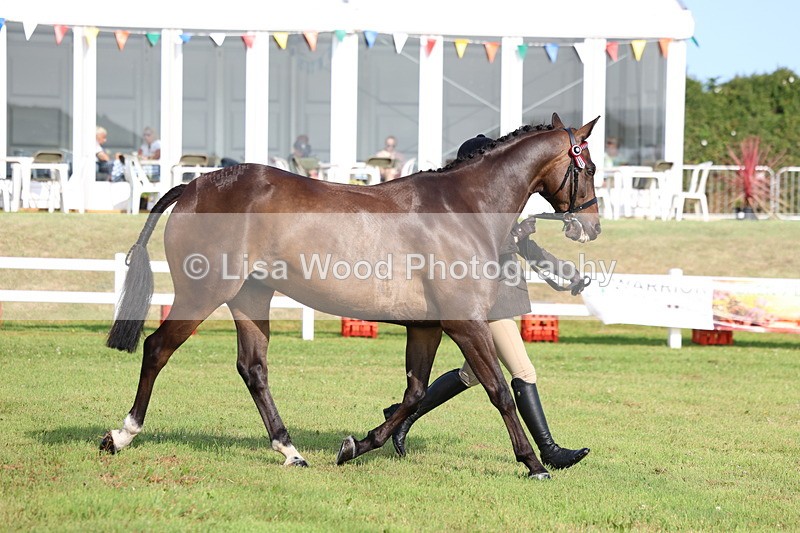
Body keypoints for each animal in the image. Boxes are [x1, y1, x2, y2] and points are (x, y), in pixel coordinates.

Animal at [101, 113, 601, 479]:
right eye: (590, 168)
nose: (591, 226)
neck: (463, 208)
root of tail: (194, 185)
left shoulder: (426, 326)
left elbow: (415, 394)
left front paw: (357, 446)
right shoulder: (465, 323)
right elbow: (499, 390)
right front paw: (534, 464)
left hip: (250, 297)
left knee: (253, 369)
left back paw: (290, 450)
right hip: (203, 293)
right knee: (157, 348)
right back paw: (122, 435)